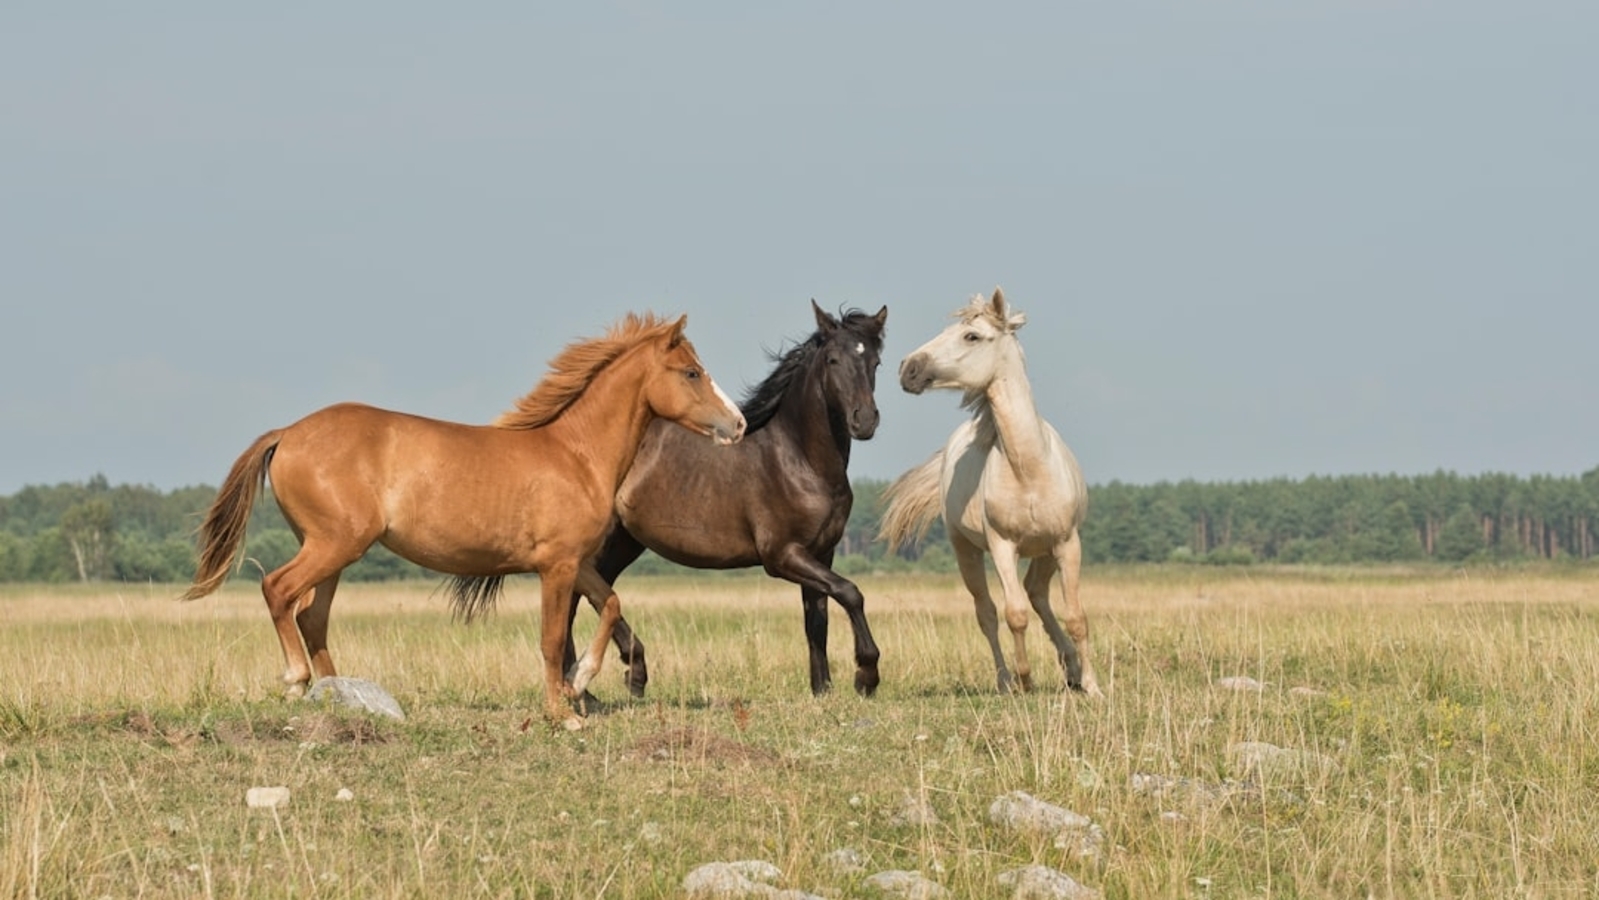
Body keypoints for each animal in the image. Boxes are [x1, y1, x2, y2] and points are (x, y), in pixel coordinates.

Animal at [182, 313, 746, 727]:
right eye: (691, 372)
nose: (738, 424)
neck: (576, 455)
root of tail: (288, 433)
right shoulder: (556, 567)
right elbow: (550, 638)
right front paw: (562, 712)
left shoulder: (576, 562)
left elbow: (610, 605)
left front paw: (581, 681)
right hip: (333, 544)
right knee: (278, 590)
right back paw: (297, 681)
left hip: (333, 552)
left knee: (311, 615)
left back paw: (341, 695)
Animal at [452, 301, 887, 698]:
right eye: (832, 359)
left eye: (875, 361)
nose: (864, 421)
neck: (797, 459)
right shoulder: (782, 556)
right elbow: (851, 593)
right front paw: (865, 676)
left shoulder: (820, 552)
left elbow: (818, 619)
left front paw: (822, 690)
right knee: (577, 600)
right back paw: (607, 680)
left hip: (622, 543)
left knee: (587, 597)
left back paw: (608, 680)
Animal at [880, 288, 1100, 696]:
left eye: (972, 336)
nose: (908, 368)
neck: (1029, 469)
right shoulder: (1002, 546)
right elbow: (1014, 614)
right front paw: (1025, 680)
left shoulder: (1067, 543)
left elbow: (1076, 616)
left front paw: (1092, 686)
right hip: (966, 550)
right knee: (988, 612)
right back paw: (1006, 680)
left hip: (1046, 551)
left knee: (1037, 593)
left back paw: (1071, 669)